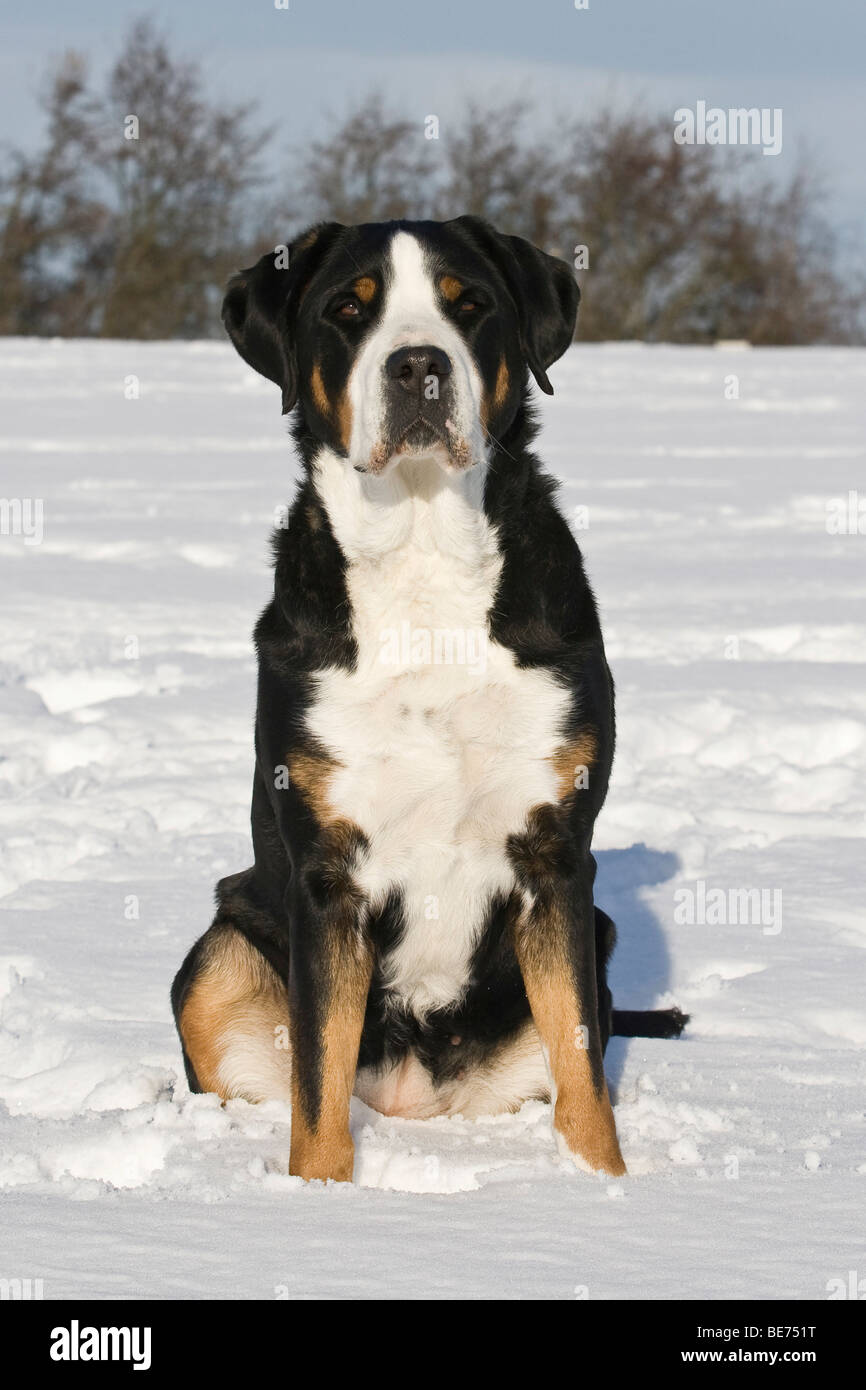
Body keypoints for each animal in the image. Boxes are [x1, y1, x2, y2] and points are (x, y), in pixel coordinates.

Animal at [173, 216, 686, 1184]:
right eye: (348, 309)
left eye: (468, 303)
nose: (418, 365)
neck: (422, 560)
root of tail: (412, 1101)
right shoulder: (325, 872)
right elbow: (316, 1083)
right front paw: (320, 1196)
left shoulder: (556, 858)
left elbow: (582, 1068)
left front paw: (603, 1189)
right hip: (219, 952)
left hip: (593, 936)